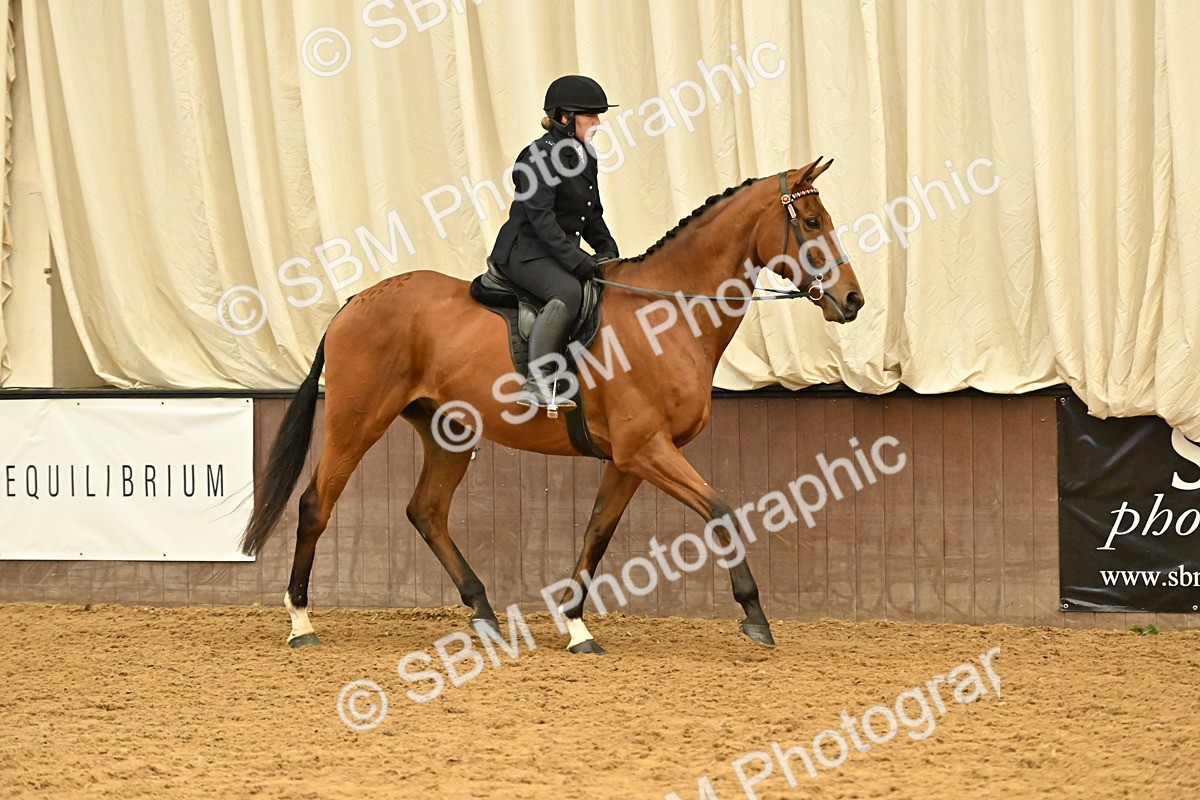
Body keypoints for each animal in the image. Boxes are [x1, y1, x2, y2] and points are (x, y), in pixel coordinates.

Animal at [241, 158, 864, 653]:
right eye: (812, 223)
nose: (853, 300)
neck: (667, 315)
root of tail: (354, 302)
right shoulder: (647, 450)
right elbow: (721, 511)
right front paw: (755, 616)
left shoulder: (628, 460)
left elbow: (597, 533)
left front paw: (577, 626)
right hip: (357, 422)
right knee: (316, 504)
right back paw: (301, 622)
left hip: (448, 431)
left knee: (427, 511)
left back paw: (484, 614)